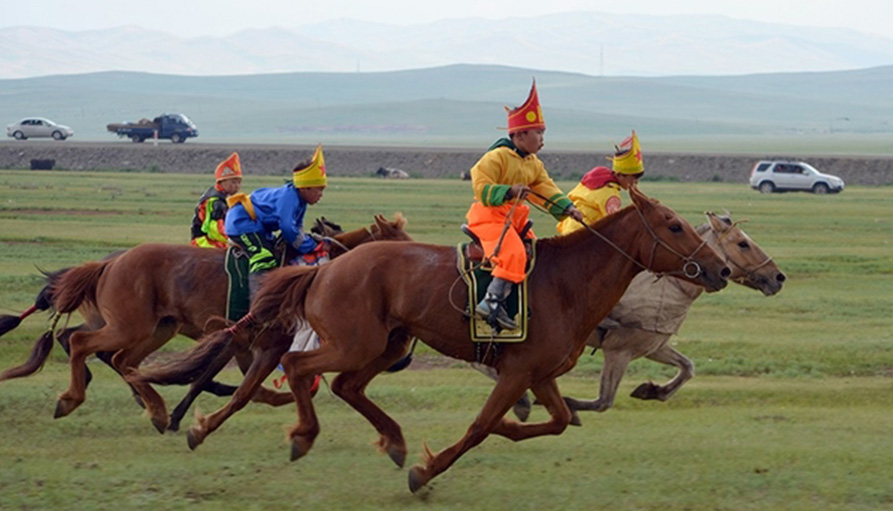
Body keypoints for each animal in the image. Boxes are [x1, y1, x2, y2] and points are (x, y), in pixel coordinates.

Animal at [0, 214, 408, 434]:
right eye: (401, 242)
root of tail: (108, 264)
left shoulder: (245, 341)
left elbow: (242, 384)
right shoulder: (248, 340)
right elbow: (216, 380)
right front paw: (186, 416)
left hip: (155, 328)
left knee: (117, 359)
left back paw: (153, 407)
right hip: (128, 326)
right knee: (82, 344)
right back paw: (75, 398)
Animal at [138, 185, 724, 492]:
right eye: (673, 226)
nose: (718, 270)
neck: (565, 282)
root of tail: (327, 267)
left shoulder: (538, 373)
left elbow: (556, 421)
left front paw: (507, 429)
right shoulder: (516, 372)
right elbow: (480, 427)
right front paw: (427, 469)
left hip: (388, 345)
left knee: (345, 387)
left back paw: (391, 440)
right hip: (355, 343)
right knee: (307, 373)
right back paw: (302, 435)